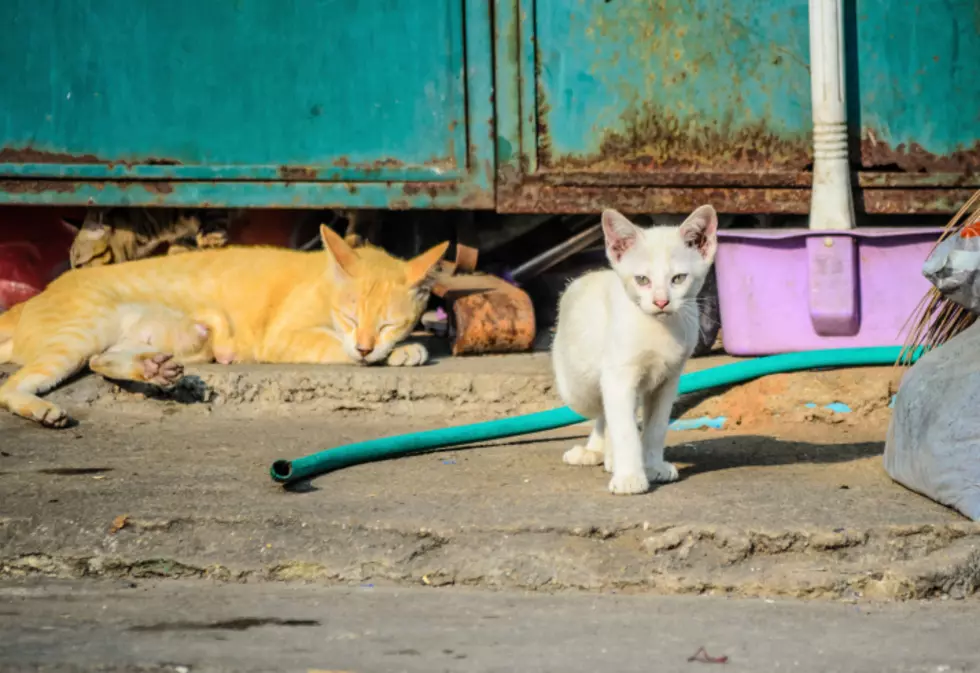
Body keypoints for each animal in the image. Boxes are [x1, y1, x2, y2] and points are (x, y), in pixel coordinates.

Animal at [0, 226, 448, 426]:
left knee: (100, 360)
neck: (324, 281)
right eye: (351, 318)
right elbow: (338, 349)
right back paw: (40, 409)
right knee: (10, 385)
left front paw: (401, 348)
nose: (367, 345)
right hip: (80, 332)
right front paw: (391, 353)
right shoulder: (283, 339)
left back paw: (152, 369)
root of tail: (31, 299)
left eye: (388, 324)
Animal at [552, 205, 720, 494]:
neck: (659, 327)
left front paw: (652, 466)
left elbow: (655, 427)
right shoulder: (619, 376)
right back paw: (596, 451)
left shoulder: (668, 380)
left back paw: (609, 456)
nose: (661, 301)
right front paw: (630, 477)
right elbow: (625, 430)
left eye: (678, 279)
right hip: (577, 388)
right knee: (602, 409)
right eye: (642, 280)